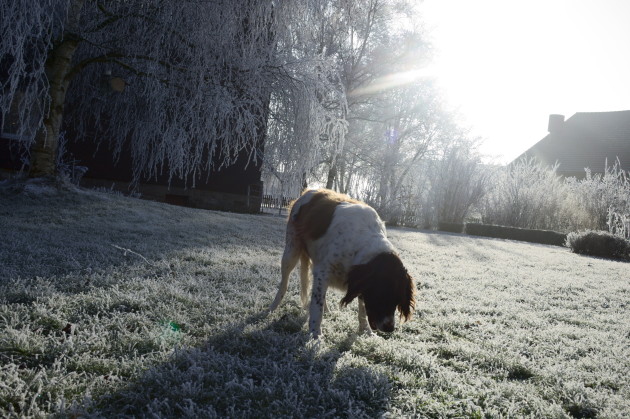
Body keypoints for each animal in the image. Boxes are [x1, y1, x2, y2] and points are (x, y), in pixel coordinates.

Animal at [270, 189, 418, 340]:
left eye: (398, 299)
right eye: (381, 295)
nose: (390, 328)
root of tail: (310, 190)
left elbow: (362, 310)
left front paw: (366, 331)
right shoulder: (323, 272)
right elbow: (317, 306)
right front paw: (315, 334)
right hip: (291, 252)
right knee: (284, 283)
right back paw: (272, 307)